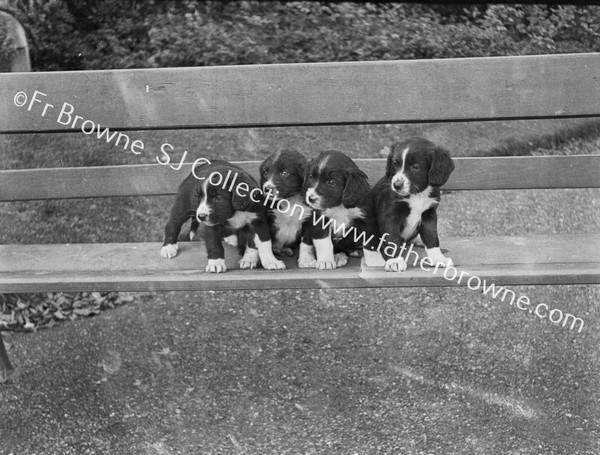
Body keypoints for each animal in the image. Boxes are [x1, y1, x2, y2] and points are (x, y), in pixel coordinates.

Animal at [366, 135, 454, 270]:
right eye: (395, 164)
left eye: (416, 166)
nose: (396, 185)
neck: (417, 194)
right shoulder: (390, 215)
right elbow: (393, 239)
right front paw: (395, 261)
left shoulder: (429, 214)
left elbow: (432, 237)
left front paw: (438, 258)